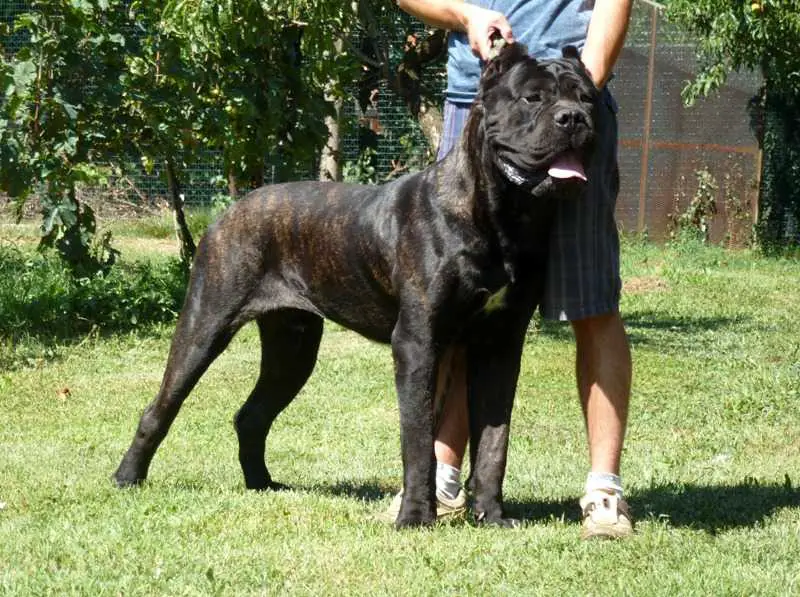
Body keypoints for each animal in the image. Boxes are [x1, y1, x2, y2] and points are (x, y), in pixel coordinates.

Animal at [115, 43, 596, 528]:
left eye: (587, 97)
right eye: (533, 98)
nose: (574, 118)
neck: (501, 214)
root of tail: (229, 211)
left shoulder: (500, 343)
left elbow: (495, 440)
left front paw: (492, 516)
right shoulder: (418, 342)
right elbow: (418, 439)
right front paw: (415, 516)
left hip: (293, 348)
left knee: (251, 415)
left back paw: (262, 484)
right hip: (205, 324)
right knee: (160, 407)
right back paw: (127, 477)